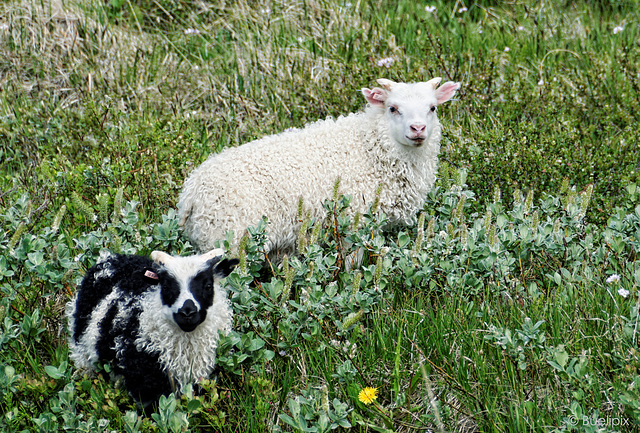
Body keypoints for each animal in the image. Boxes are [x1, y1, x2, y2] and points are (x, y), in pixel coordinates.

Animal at [67, 246, 238, 408]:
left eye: (208, 285)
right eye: (167, 287)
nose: (187, 312)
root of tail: (110, 259)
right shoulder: (144, 385)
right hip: (82, 352)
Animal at [180, 77, 460, 255]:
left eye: (432, 108)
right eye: (393, 108)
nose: (418, 129)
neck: (370, 147)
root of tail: (191, 193)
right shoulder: (352, 223)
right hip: (229, 238)